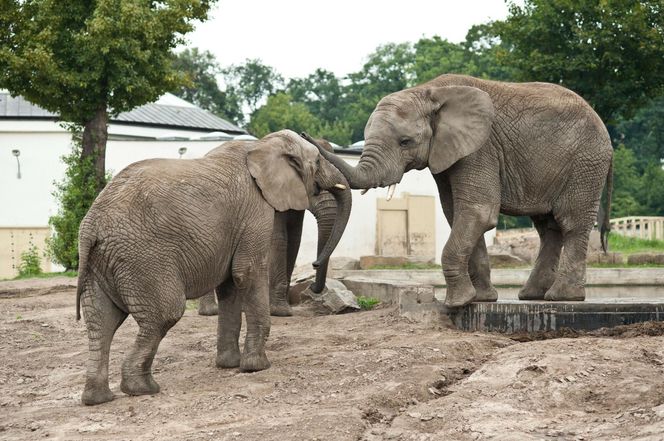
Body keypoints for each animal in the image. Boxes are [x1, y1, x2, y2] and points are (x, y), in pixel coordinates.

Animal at [197, 138, 340, 316]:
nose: (312, 286)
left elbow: (294, 240)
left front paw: (283, 308)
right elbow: (279, 239)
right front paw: (280, 312)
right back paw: (211, 312)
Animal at [314, 73, 616, 306]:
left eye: (405, 142)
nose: (310, 137)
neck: (428, 91)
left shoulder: (480, 148)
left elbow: (478, 211)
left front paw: (457, 303)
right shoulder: (448, 153)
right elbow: (457, 213)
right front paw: (481, 299)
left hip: (586, 164)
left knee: (571, 222)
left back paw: (562, 297)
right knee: (547, 227)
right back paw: (532, 296)